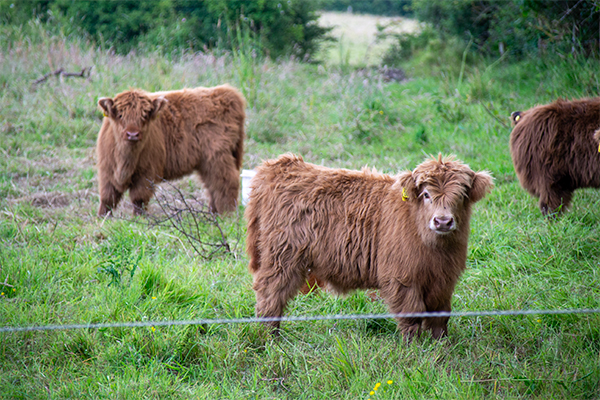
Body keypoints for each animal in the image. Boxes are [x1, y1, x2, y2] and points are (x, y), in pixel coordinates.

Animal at [95, 83, 244, 216]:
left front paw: (139, 219)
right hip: (207, 163)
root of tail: (226, 92)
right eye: (120, 115)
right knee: (213, 187)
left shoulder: (146, 173)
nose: (133, 134)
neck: (125, 159)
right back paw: (214, 215)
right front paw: (102, 218)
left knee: (226, 183)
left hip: (217, 157)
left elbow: (139, 199)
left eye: (144, 116)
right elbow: (107, 198)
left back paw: (227, 216)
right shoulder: (106, 171)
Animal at [244, 153, 492, 338]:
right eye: (426, 194)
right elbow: (412, 316)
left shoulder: (444, 280)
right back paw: (270, 339)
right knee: (270, 297)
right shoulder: (403, 278)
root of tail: (281, 165)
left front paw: (441, 344)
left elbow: (440, 316)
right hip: (282, 259)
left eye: (461, 195)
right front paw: (414, 349)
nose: (442, 221)